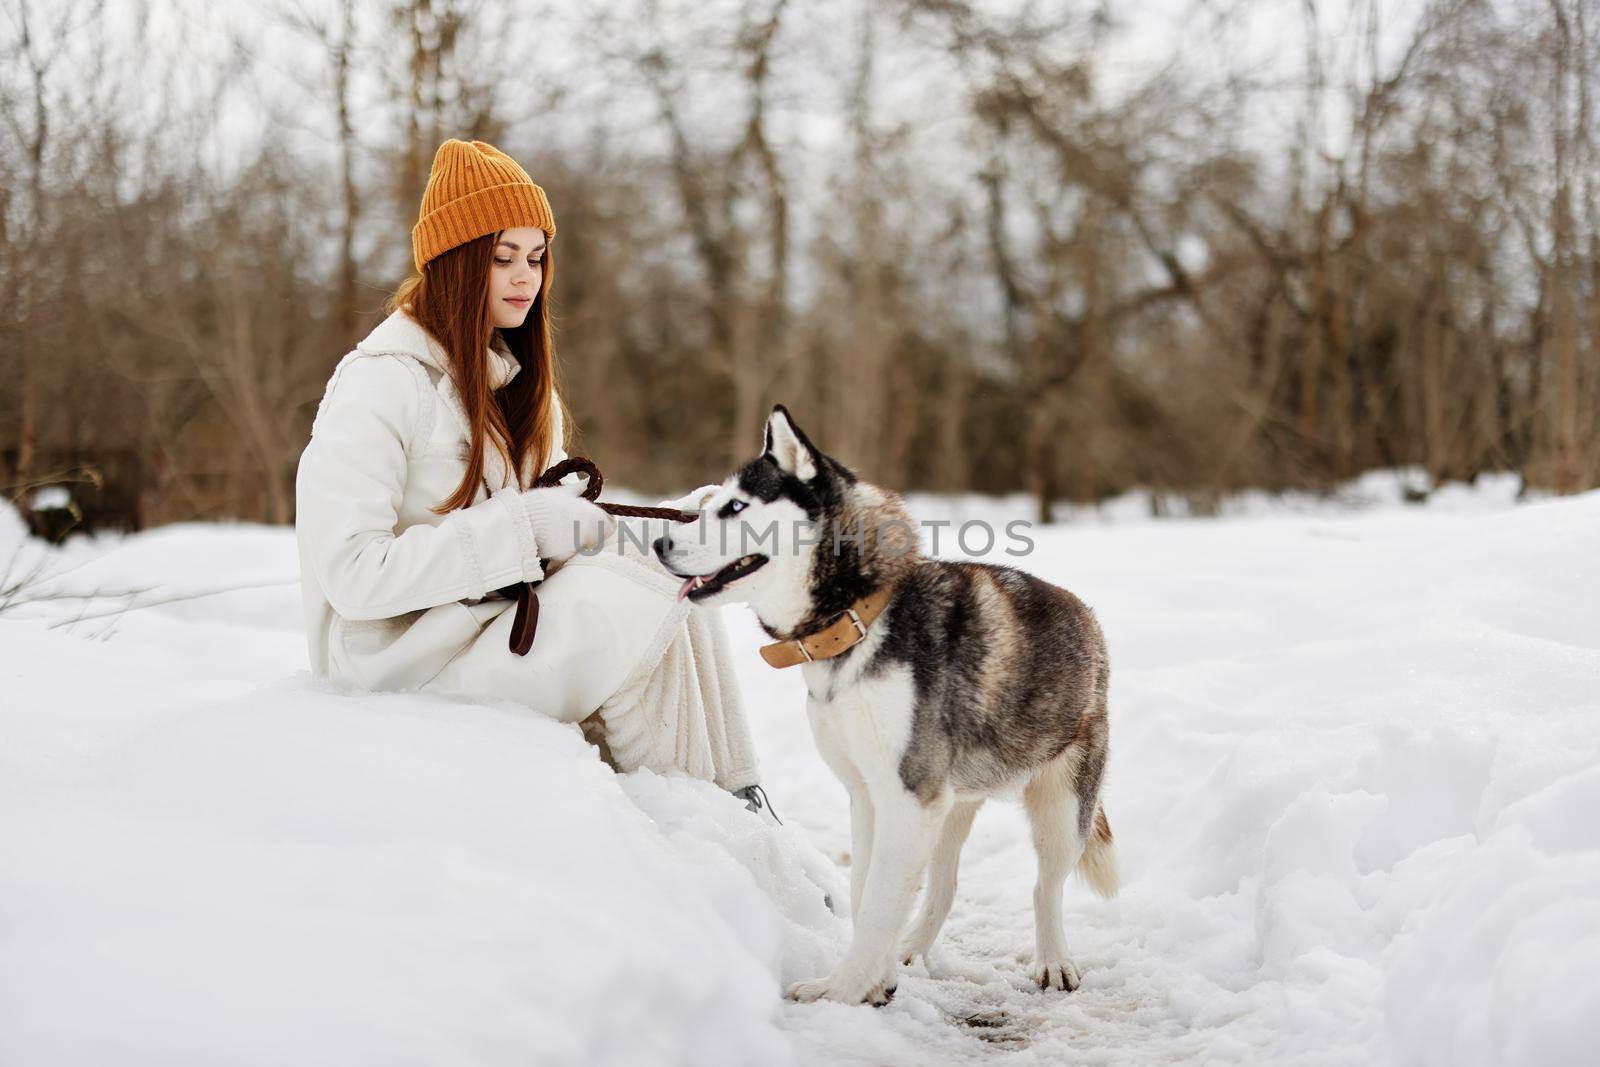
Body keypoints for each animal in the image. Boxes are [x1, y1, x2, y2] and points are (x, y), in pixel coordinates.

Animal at [649, 404, 1113, 1004]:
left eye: (735, 507)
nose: (659, 545)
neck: (858, 619)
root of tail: (1085, 615)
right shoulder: (871, 794)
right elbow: (864, 889)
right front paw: (876, 980)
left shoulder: (908, 795)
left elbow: (875, 904)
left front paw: (841, 991)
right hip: (951, 804)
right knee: (944, 884)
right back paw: (910, 947)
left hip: (1060, 805)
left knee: (1045, 886)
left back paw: (1054, 960)